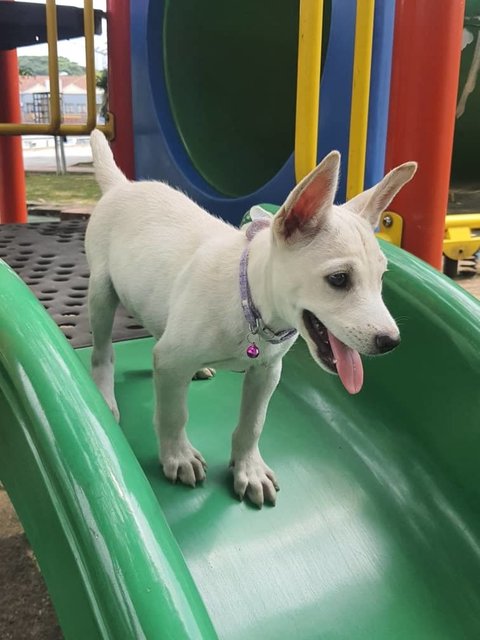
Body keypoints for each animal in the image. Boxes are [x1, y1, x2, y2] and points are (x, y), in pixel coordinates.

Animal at [87, 130, 416, 508]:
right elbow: (174, 414)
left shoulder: (267, 372)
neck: (250, 305)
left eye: (381, 278)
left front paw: (249, 470)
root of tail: (121, 186)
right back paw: (104, 394)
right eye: (338, 279)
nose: (391, 342)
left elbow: (252, 424)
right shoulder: (171, 363)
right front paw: (177, 456)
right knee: (102, 353)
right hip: (101, 294)